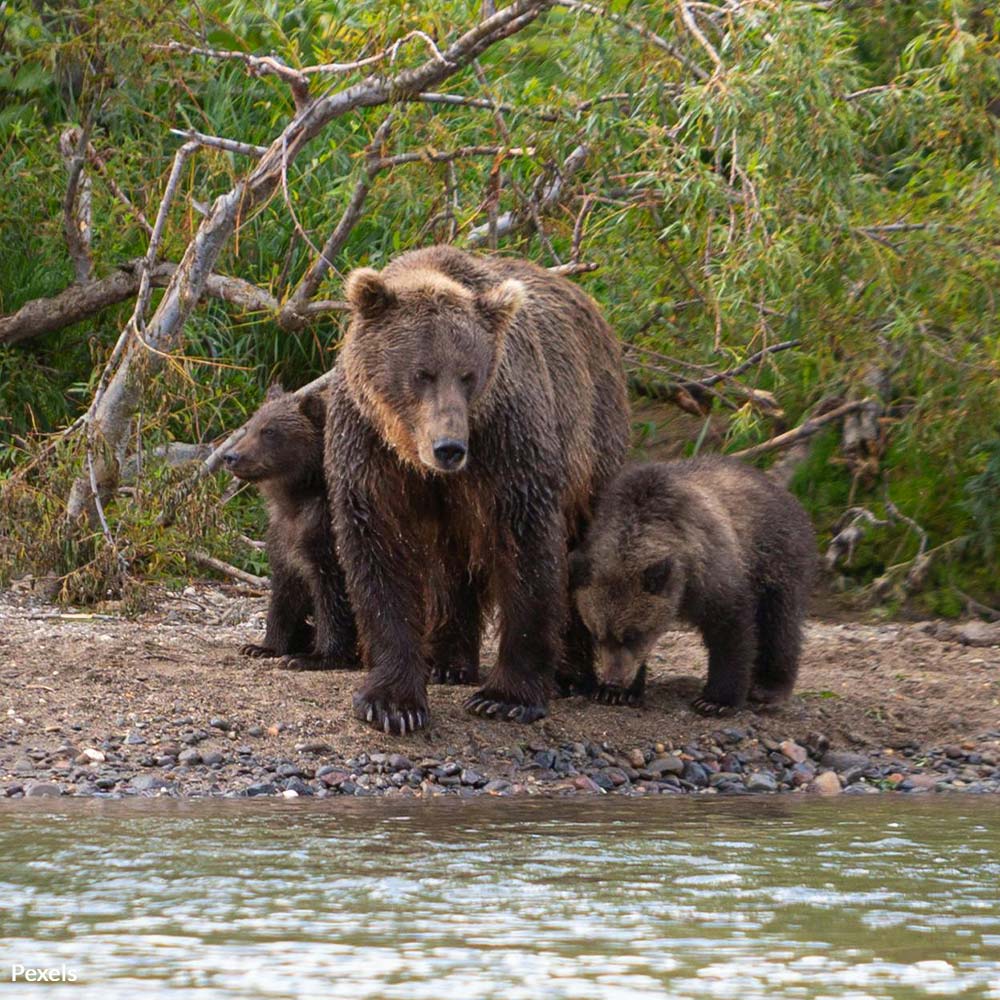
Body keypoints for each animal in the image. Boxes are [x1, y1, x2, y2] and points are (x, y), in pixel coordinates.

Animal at [223, 382, 359, 672]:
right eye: (249, 426)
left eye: (270, 431)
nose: (231, 456)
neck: (296, 498)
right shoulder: (282, 535)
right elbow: (284, 593)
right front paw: (262, 647)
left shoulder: (325, 537)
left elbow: (333, 596)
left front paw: (315, 657)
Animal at [327, 245, 630, 734]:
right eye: (422, 373)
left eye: (468, 375)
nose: (449, 448)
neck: (411, 450)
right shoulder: (367, 445)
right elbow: (379, 550)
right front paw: (393, 703)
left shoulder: (506, 439)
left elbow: (526, 548)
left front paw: (506, 697)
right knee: (451, 566)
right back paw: (447, 660)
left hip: (594, 434)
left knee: (590, 545)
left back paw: (574, 675)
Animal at [569, 457, 816, 715]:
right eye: (596, 634)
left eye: (632, 635)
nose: (613, 681)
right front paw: (618, 693)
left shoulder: (714, 572)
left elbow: (730, 630)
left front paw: (716, 701)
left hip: (778, 556)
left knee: (780, 623)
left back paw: (769, 687)